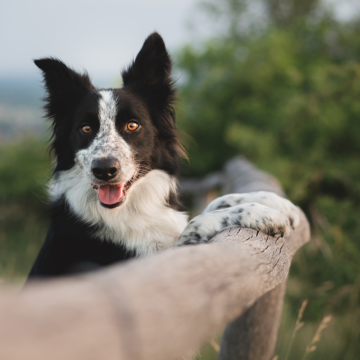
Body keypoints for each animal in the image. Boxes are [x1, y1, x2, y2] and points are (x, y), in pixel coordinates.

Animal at [28, 32, 300, 280]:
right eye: (85, 129)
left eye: (132, 125)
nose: (104, 170)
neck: (129, 208)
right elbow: (197, 222)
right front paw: (263, 215)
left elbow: (214, 203)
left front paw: (275, 202)